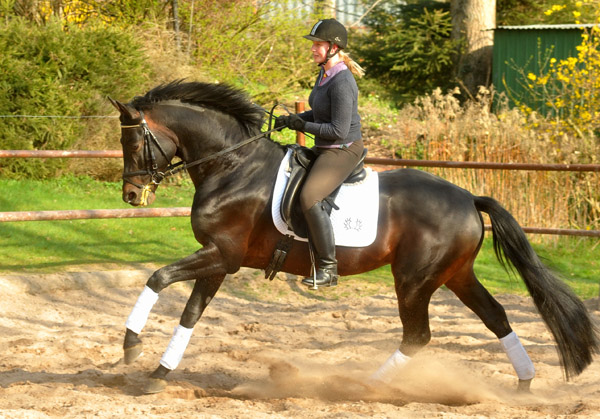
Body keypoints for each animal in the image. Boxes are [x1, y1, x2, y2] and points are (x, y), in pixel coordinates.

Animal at [110, 79, 596, 398]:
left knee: (417, 336)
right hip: (456, 275)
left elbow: (157, 278)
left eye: (134, 145)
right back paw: (524, 384)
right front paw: (159, 373)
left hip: (414, 280)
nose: (131, 195)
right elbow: (190, 313)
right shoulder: (219, 259)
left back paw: (362, 386)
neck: (233, 167)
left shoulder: (221, 255)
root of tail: (467, 197)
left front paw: (131, 348)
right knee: (496, 317)